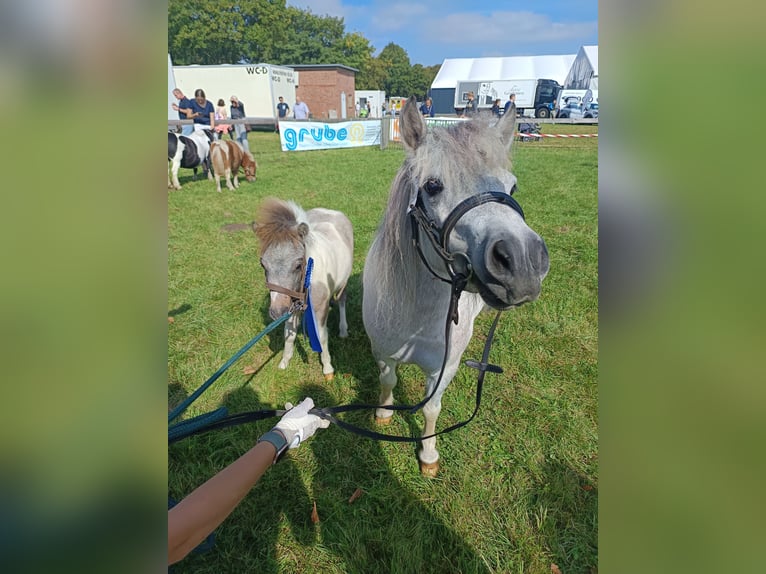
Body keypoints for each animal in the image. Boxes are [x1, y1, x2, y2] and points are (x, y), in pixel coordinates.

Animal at [255, 198, 356, 382]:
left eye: (298, 265)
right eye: (262, 264)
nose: (276, 312)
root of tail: (330, 211)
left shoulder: (320, 309)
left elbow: (322, 337)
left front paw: (328, 369)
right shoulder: (290, 307)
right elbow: (289, 334)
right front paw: (284, 362)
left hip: (343, 282)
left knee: (342, 300)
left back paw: (343, 330)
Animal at [364, 95, 548, 476]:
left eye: (513, 187)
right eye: (433, 186)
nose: (524, 261)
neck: (417, 317)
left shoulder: (443, 369)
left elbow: (431, 408)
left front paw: (428, 455)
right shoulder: (382, 353)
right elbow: (388, 382)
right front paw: (384, 413)